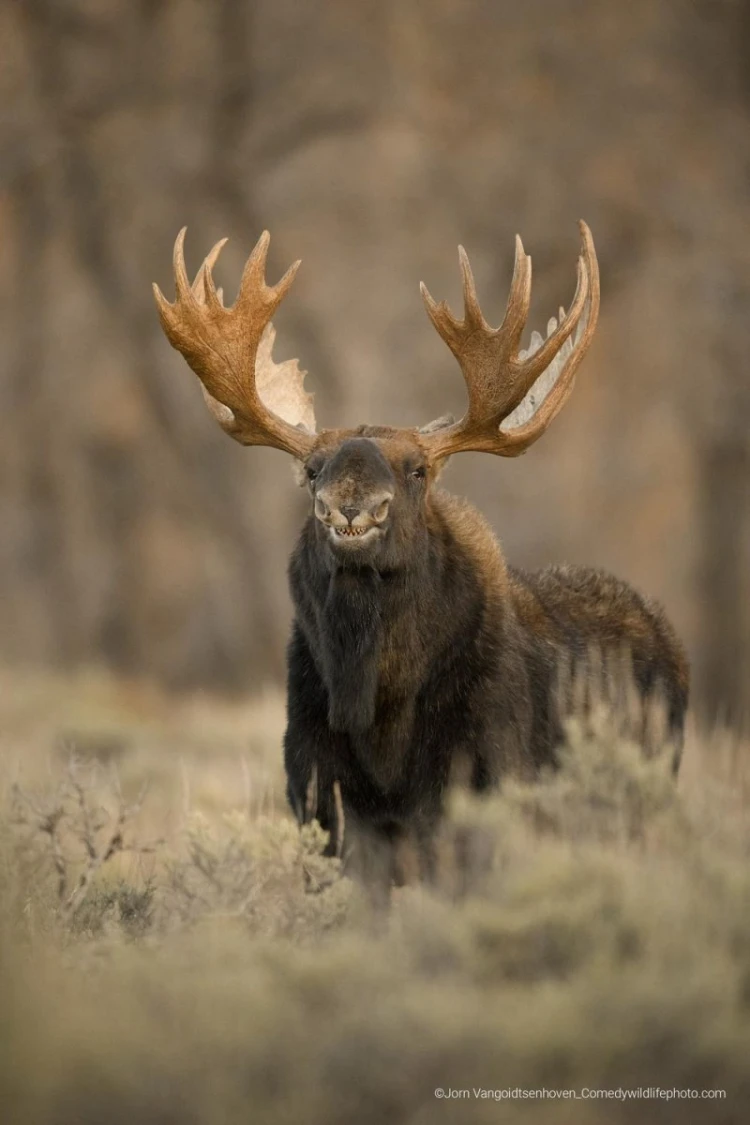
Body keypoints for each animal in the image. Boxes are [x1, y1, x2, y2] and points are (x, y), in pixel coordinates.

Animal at [154, 219, 692, 886]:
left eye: (417, 470)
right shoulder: (320, 798)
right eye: (312, 469)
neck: (380, 713)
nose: (351, 506)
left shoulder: (483, 783)